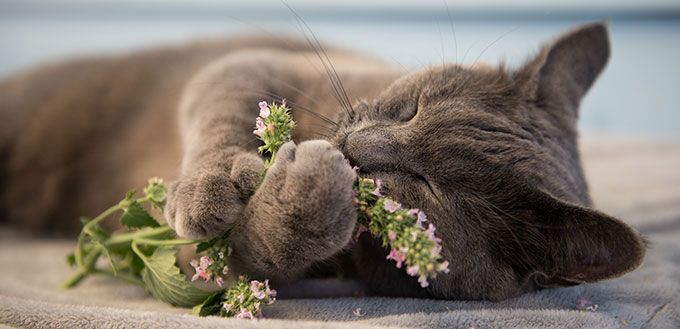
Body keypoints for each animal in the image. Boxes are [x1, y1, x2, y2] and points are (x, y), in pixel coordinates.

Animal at [0, 22, 644, 300]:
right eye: (412, 107)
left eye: (426, 187)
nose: (357, 152)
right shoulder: (251, 64)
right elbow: (222, 108)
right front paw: (216, 184)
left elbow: (241, 261)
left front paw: (305, 196)